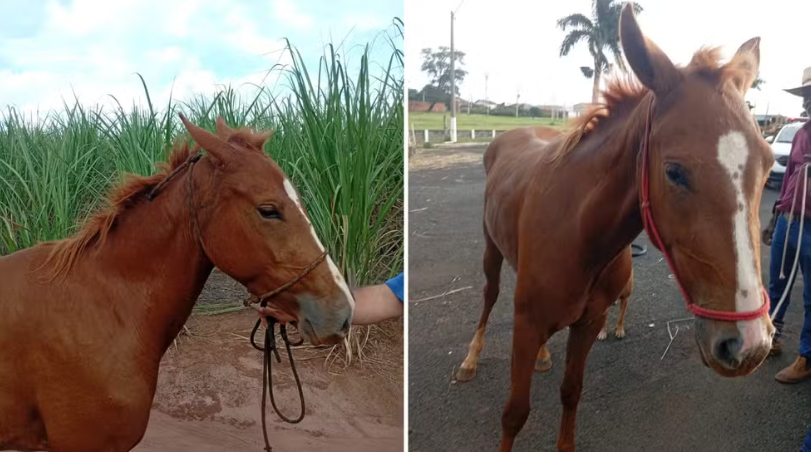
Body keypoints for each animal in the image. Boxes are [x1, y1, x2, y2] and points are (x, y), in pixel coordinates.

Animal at [454, 5, 775, 451]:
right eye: (674, 171)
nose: (749, 344)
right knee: (489, 297)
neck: (579, 234)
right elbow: (514, 413)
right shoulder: (526, 325)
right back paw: (471, 357)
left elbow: (571, 392)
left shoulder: (589, 323)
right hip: (491, 252)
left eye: (768, 164)